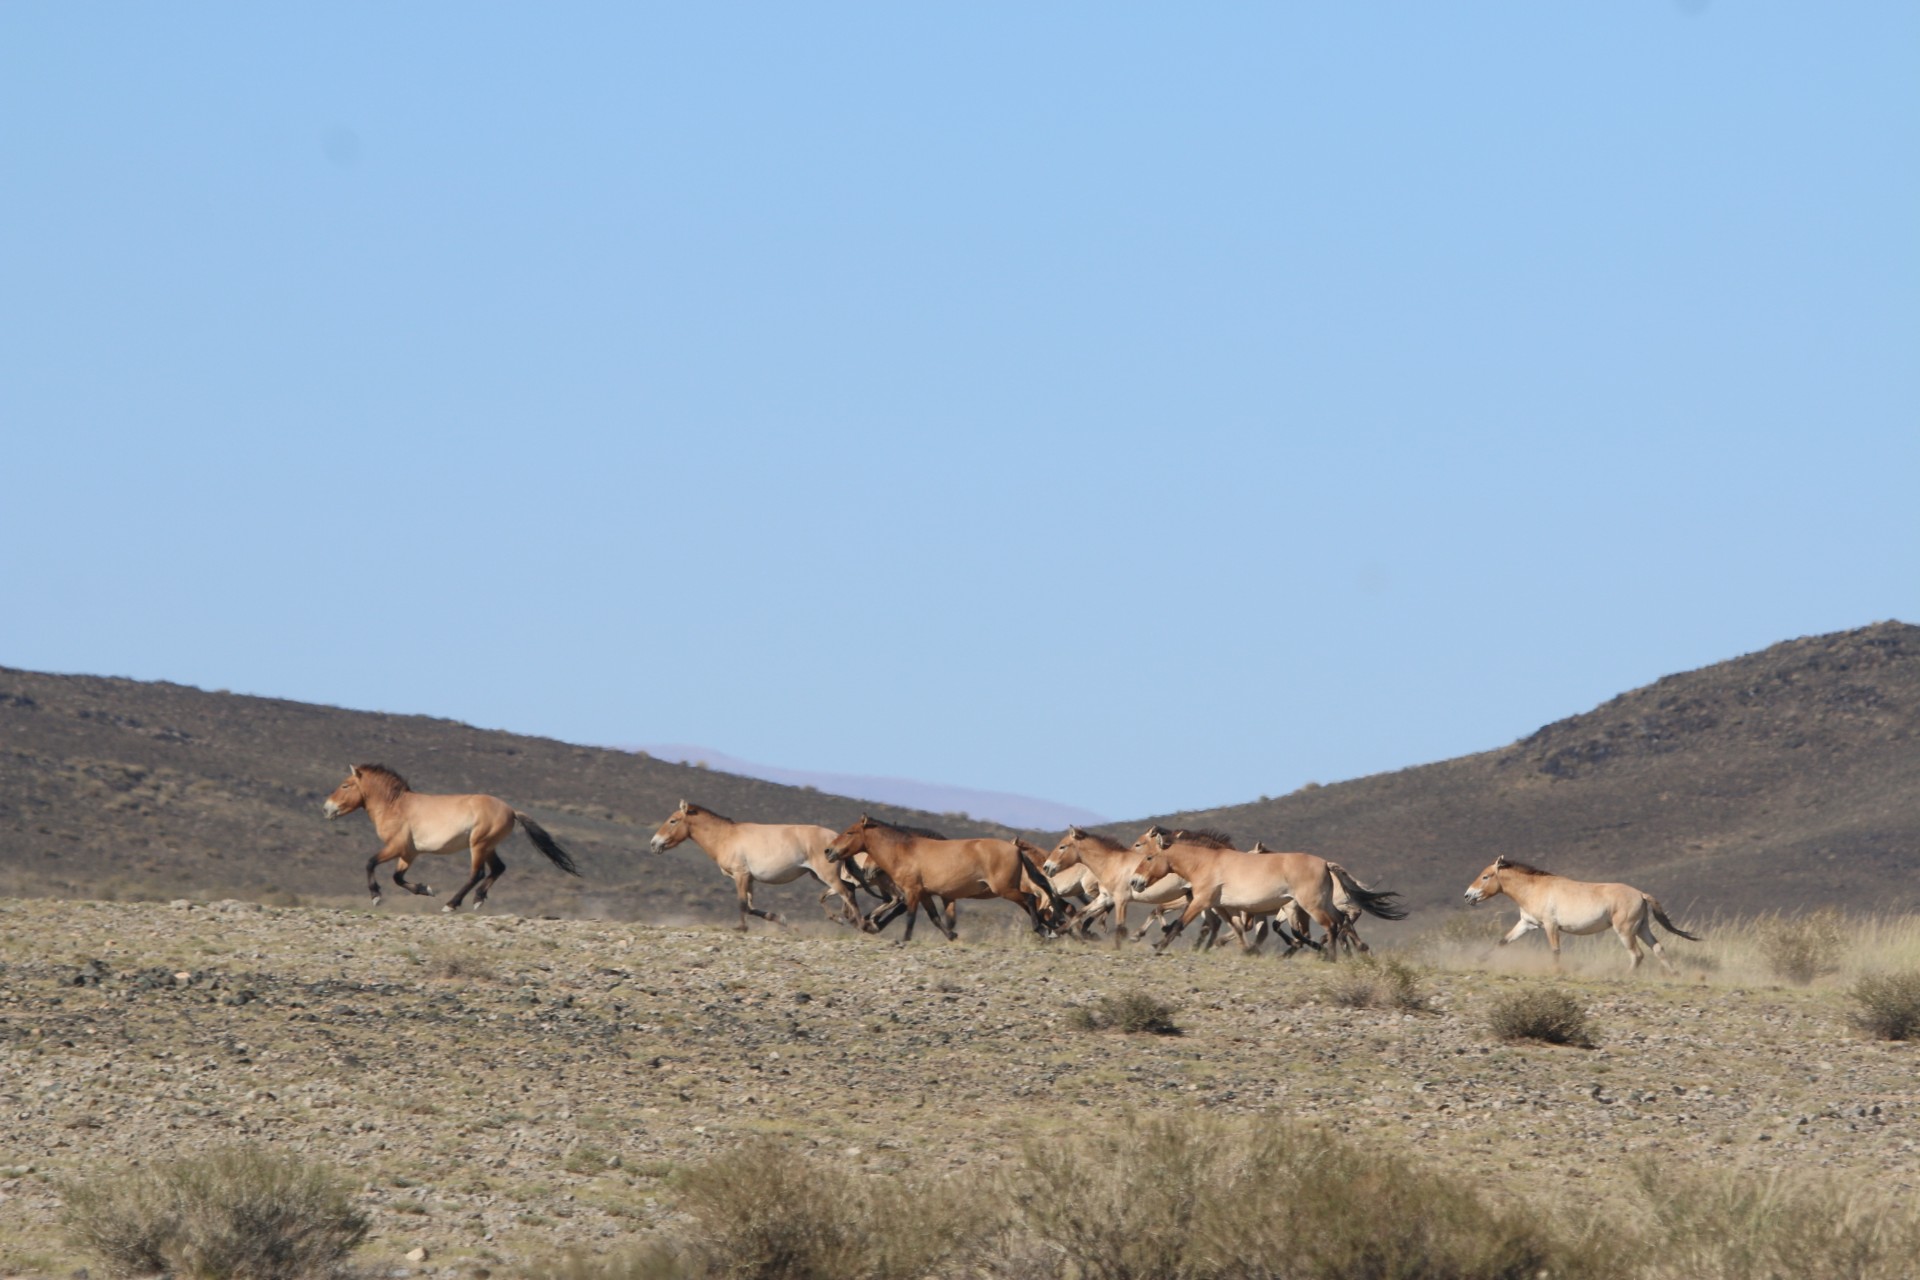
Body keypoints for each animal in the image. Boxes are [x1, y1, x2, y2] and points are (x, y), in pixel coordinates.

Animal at [323, 764, 580, 910]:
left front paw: (376, 896)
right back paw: (478, 899)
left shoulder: (395, 846)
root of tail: (511, 811)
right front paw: (426, 889)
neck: (395, 805)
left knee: (477, 873)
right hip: (488, 846)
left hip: (478, 845)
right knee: (498, 869)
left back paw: (452, 904)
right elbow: (397, 877)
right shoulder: (409, 853)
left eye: (345, 785)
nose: (326, 809)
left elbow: (370, 862)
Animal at [649, 801, 865, 931]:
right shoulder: (749, 878)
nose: (654, 843)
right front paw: (780, 919)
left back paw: (861, 925)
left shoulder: (740, 875)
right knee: (846, 890)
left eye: (673, 820)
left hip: (826, 875)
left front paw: (741, 928)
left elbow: (742, 903)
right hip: (817, 875)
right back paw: (844, 919)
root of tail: (836, 839)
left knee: (846, 892)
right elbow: (751, 907)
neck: (726, 836)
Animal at [824, 816, 1066, 942]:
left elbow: (910, 917)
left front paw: (902, 939)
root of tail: (1016, 849)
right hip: (1008, 890)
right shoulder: (925, 894)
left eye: (850, 832)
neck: (906, 851)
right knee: (1035, 904)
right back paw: (1050, 929)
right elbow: (935, 918)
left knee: (1030, 900)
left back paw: (1042, 929)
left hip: (1005, 890)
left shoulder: (912, 892)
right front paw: (951, 936)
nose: (828, 851)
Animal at [1462, 857, 1701, 972]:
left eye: (1485, 876)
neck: (1534, 888)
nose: (1467, 896)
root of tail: (1641, 894)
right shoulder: (1527, 924)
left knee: (1637, 955)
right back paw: (1674, 974)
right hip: (1642, 928)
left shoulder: (1550, 926)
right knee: (1658, 949)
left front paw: (1556, 971)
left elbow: (1555, 950)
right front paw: (1479, 960)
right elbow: (1502, 942)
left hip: (1625, 931)